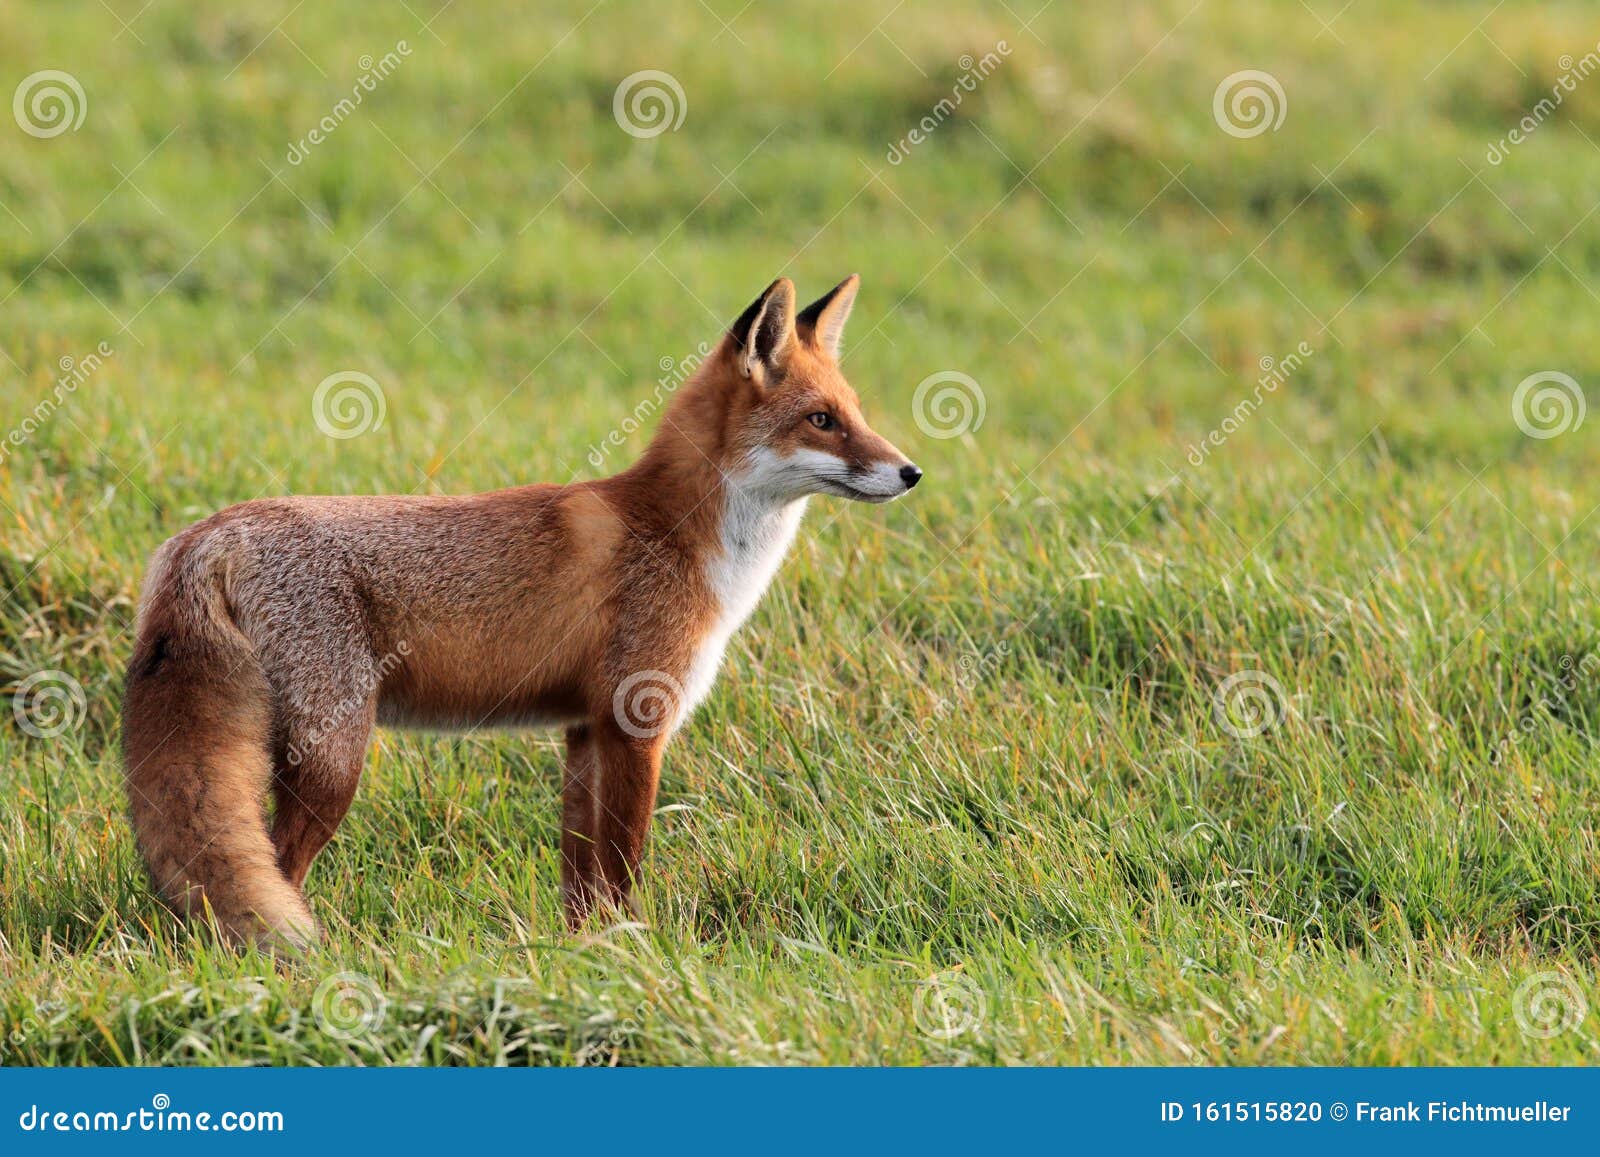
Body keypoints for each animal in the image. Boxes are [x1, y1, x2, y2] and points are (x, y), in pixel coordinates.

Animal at [122, 275, 922, 948]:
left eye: (855, 414)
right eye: (821, 420)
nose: (911, 472)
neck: (679, 535)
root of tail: (206, 533)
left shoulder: (585, 729)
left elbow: (582, 881)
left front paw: (583, 956)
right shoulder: (638, 721)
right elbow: (624, 871)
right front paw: (636, 954)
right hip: (335, 760)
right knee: (279, 872)